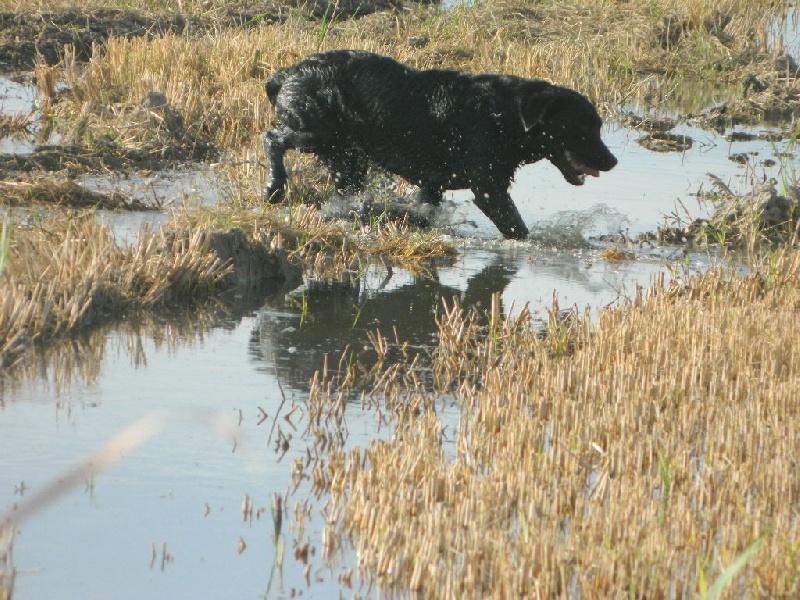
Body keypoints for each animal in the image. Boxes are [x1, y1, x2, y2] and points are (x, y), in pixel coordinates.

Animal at [264, 50, 620, 240]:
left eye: (598, 127)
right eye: (583, 129)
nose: (613, 161)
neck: (503, 116)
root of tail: (287, 73)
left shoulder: (431, 185)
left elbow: (424, 210)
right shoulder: (489, 189)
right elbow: (516, 227)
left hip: (346, 156)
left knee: (345, 186)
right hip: (316, 131)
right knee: (272, 139)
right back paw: (274, 186)